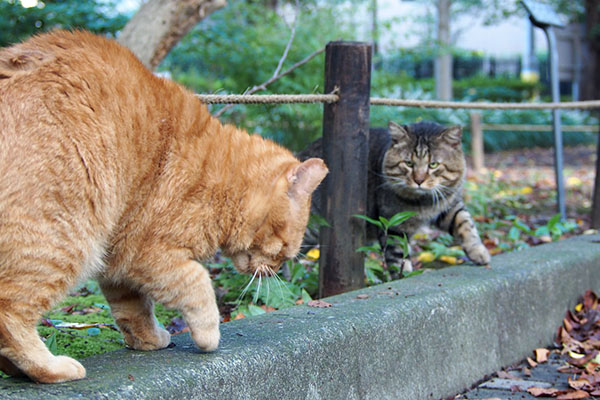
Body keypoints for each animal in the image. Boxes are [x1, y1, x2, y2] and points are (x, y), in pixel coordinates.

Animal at [0, 29, 328, 382]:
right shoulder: (148, 253)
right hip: (65, 241)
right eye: (286, 251)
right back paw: (52, 368)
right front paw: (208, 335)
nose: (276, 271)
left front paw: (149, 340)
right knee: (10, 313)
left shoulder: (118, 261)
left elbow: (134, 309)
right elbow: (198, 284)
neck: (220, 174)